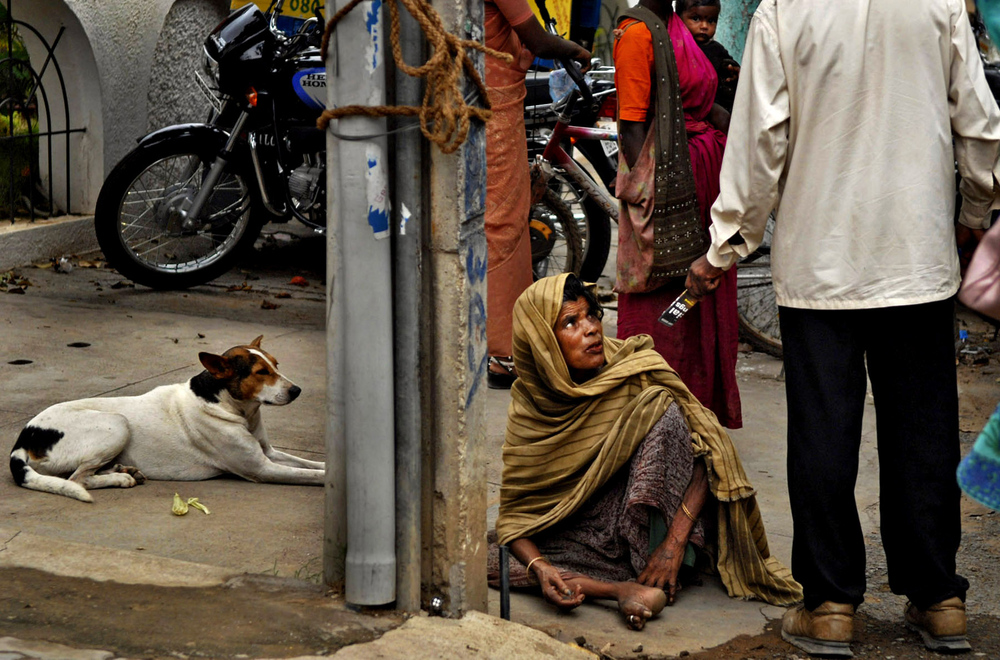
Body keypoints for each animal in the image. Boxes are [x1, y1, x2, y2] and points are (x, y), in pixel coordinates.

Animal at [8, 336, 328, 500]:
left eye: (276, 365)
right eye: (261, 373)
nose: (297, 390)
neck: (226, 404)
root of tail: (24, 437)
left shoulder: (269, 453)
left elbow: (311, 464)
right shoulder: (262, 468)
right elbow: (310, 474)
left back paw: (122, 470)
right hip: (117, 423)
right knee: (78, 479)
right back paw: (120, 478)